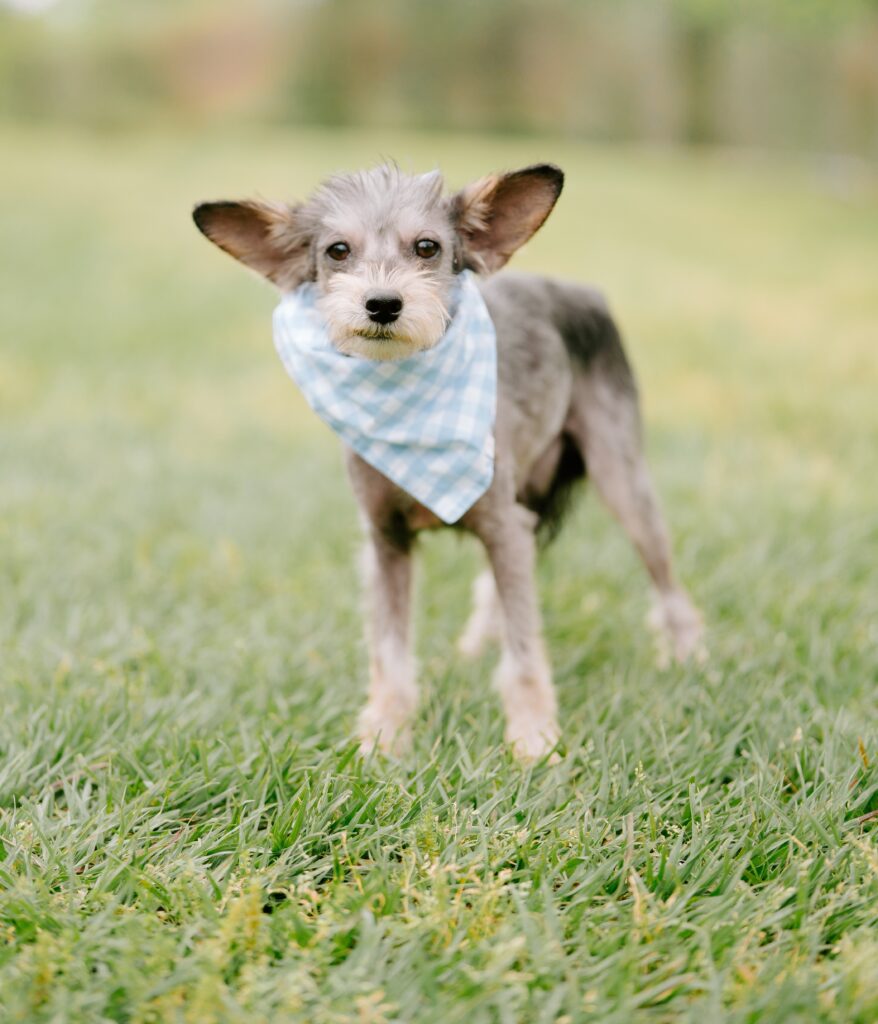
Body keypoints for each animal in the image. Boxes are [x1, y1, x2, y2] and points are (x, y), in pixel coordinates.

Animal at [193, 162, 704, 761]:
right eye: (337, 250)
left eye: (427, 247)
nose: (383, 303)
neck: (402, 395)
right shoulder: (385, 540)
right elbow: (391, 651)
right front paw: (386, 734)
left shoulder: (503, 524)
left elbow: (525, 650)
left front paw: (534, 737)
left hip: (621, 480)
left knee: (665, 582)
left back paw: (688, 656)